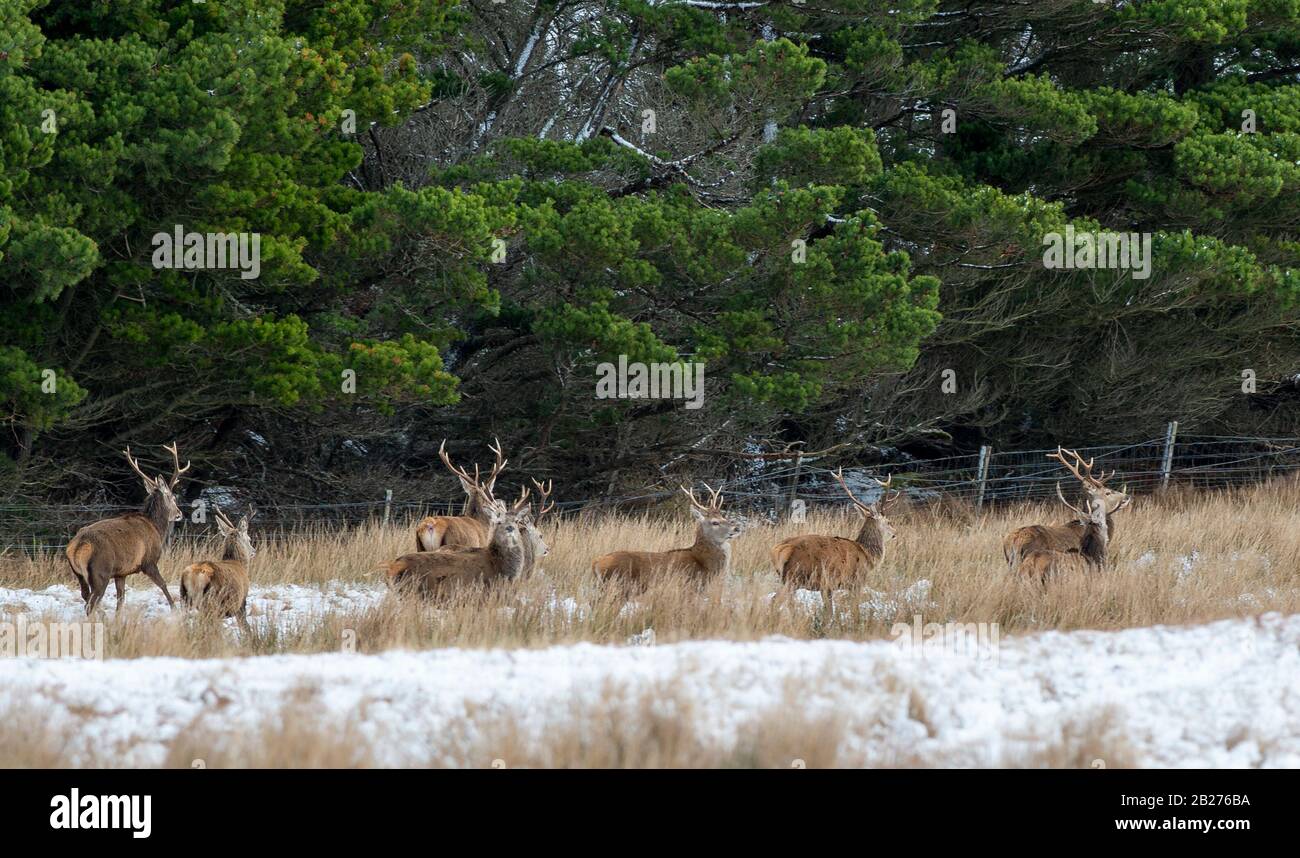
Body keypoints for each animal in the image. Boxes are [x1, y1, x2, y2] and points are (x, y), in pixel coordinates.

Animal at [64, 442, 190, 615]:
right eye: (173, 497)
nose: (179, 513)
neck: (157, 528)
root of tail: (77, 547)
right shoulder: (148, 561)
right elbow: (163, 584)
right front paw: (175, 610)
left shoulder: (121, 573)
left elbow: (121, 599)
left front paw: (118, 617)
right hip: (100, 572)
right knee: (91, 603)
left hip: (79, 574)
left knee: (86, 596)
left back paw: (104, 616)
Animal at [591, 484, 741, 588]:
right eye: (715, 522)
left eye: (724, 517)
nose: (737, 527)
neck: (705, 564)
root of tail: (596, 563)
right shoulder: (690, 587)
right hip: (618, 585)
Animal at [771, 469, 900, 592]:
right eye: (888, 521)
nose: (895, 533)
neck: (868, 555)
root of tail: (780, 549)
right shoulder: (856, 582)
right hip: (796, 577)